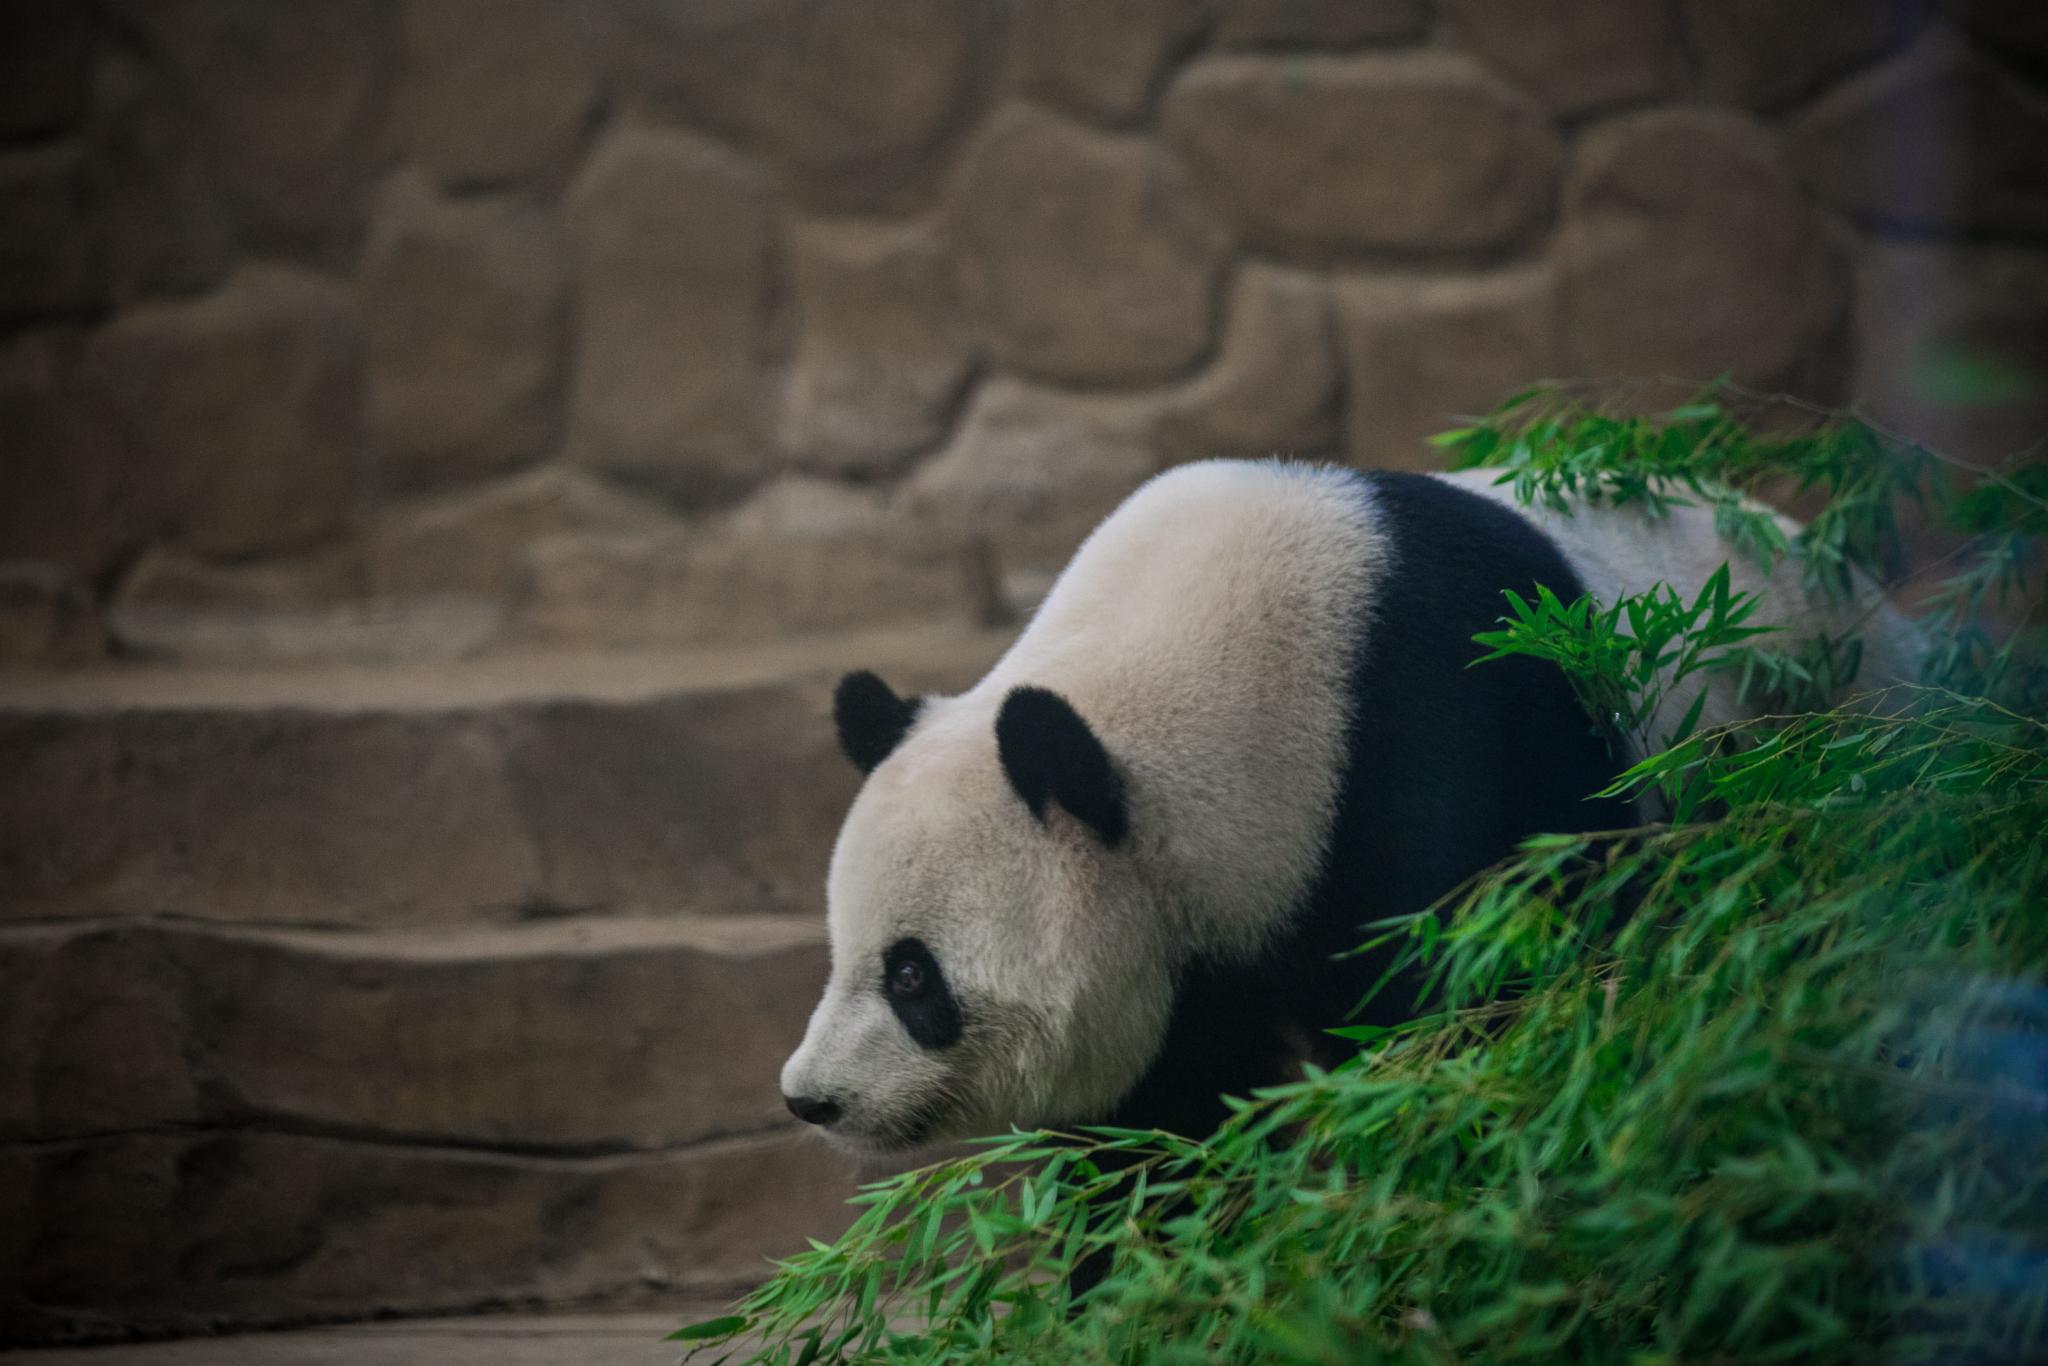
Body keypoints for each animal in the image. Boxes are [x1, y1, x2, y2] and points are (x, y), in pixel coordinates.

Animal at [778, 462, 1916, 1155]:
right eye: (841, 951)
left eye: (915, 976)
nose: (810, 1097)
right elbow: (1156, 1131)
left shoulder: (1440, 744)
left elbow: (1472, 1008)